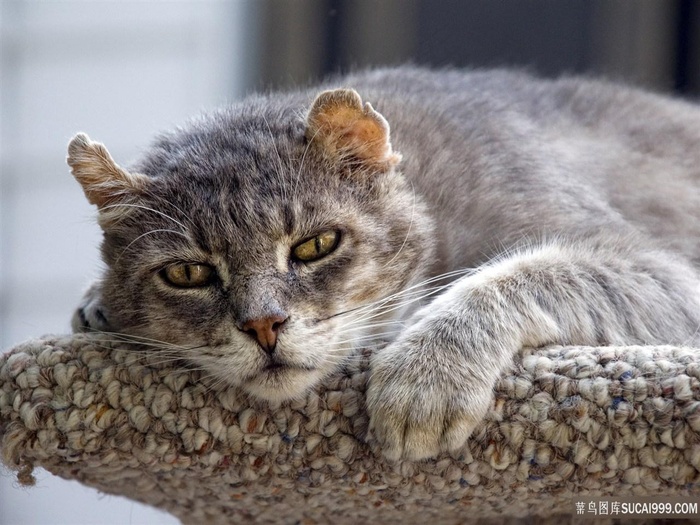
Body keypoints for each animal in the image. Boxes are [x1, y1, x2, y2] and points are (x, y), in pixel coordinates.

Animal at [67, 64, 700, 458]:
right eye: (188, 273)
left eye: (315, 245)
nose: (263, 326)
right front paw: (95, 303)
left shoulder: (659, 270)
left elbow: (519, 273)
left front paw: (426, 374)